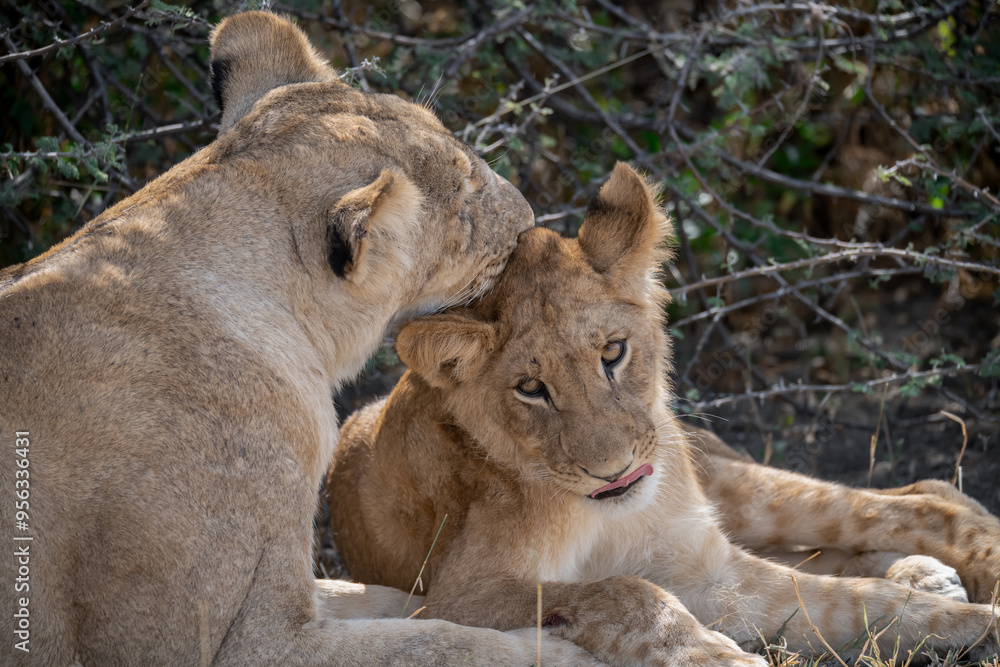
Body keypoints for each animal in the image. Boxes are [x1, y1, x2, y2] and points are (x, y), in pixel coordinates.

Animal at [328, 163, 1000, 666]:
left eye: (613, 353)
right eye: (530, 388)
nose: (615, 470)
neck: (609, 518)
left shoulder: (704, 569)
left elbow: (857, 602)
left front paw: (980, 623)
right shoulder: (452, 599)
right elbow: (622, 590)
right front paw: (718, 655)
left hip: (730, 481)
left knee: (924, 496)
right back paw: (923, 572)